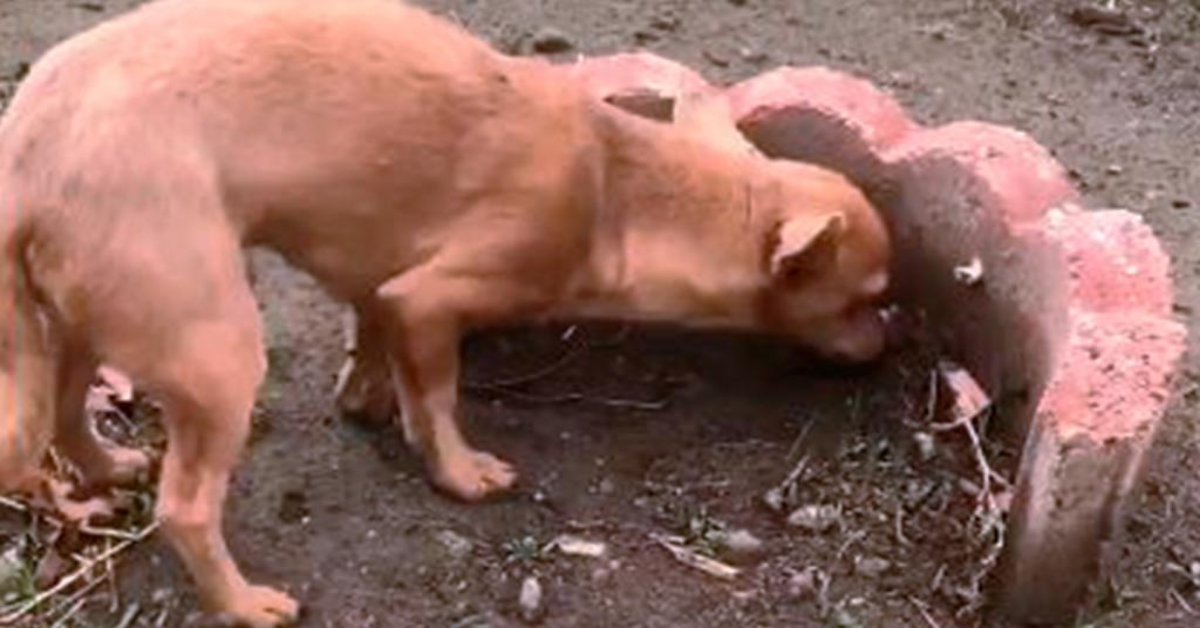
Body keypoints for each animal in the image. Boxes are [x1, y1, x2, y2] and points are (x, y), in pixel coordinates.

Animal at [0, 0, 883, 624]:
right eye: (871, 300)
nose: (893, 336)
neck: (622, 185)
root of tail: (24, 155)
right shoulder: (432, 301)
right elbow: (439, 401)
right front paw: (458, 472)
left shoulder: (380, 286)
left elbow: (371, 351)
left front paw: (365, 400)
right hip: (216, 354)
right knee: (184, 509)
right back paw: (244, 604)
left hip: (83, 324)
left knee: (68, 414)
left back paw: (109, 468)